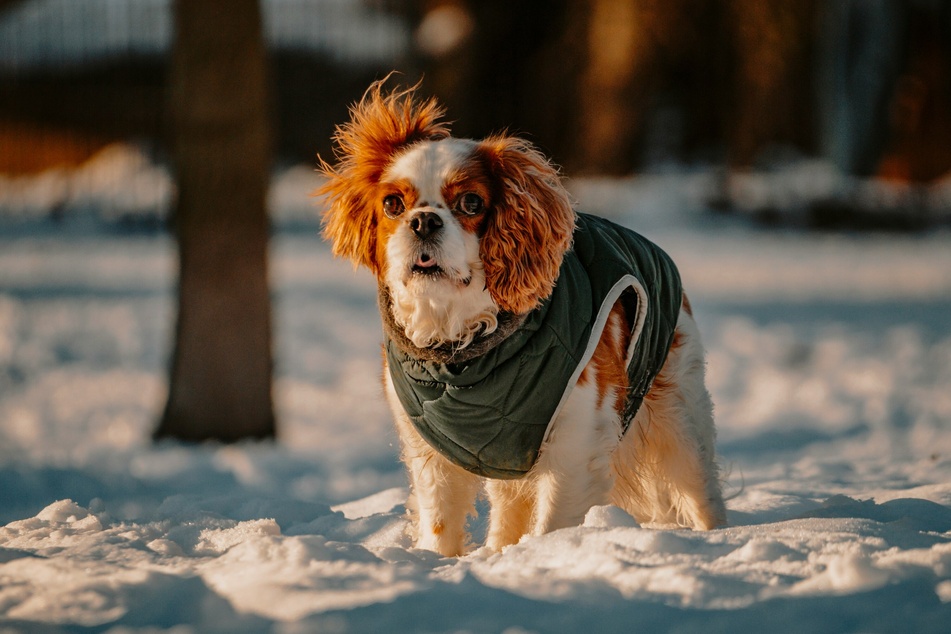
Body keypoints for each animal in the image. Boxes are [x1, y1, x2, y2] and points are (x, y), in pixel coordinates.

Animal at [320, 80, 728, 552]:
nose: (423, 221)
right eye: (392, 204)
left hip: (679, 419)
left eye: (471, 202)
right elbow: (439, 523)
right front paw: (438, 561)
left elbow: (552, 523)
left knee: (700, 490)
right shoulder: (434, 453)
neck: (462, 343)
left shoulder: (575, 442)